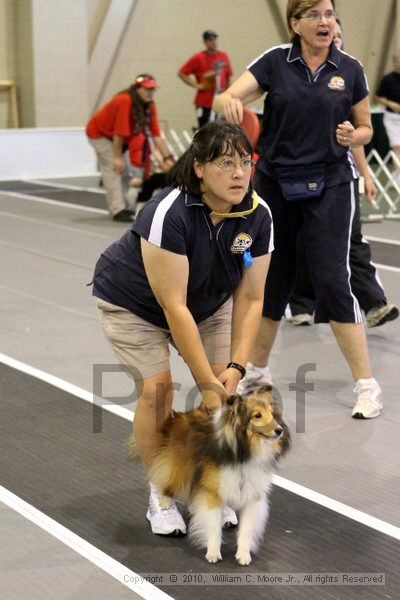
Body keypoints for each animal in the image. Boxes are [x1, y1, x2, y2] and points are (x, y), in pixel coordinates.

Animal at [130, 386, 290, 564]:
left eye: (271, 413)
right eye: (257, 415)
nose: (279, 430)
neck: (242, 453)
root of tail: (181, 415)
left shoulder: (252, 495)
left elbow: (247, 529)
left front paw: (243, 554)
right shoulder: (212, 492)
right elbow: (213, 526)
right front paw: (213, 552)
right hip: (177, 465)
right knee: (165, 477)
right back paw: (164, 501)